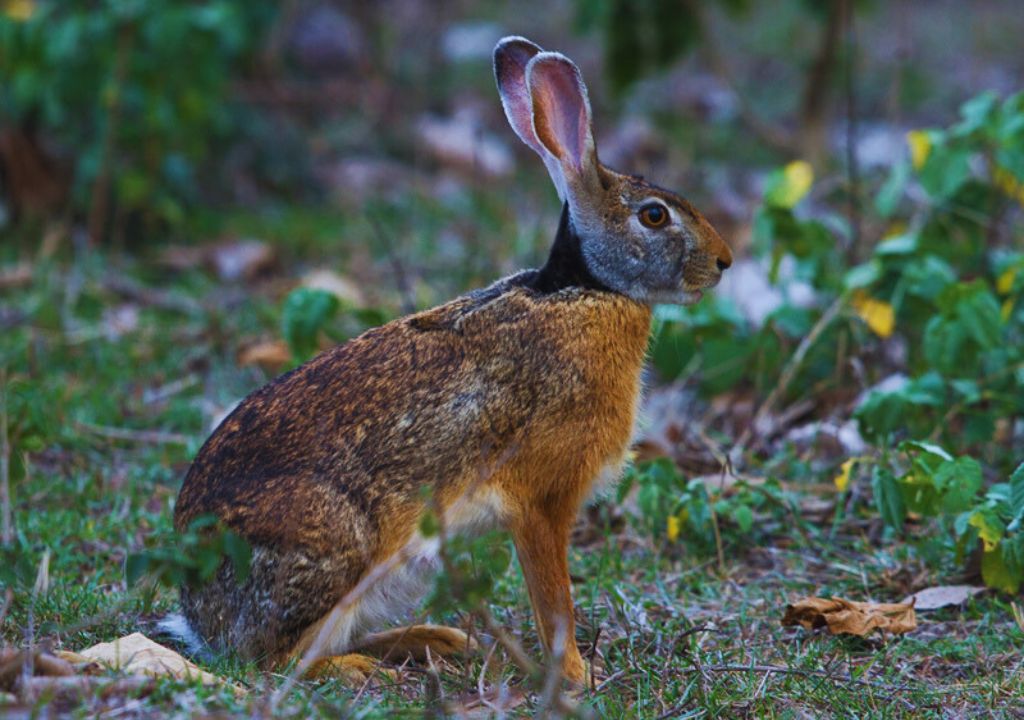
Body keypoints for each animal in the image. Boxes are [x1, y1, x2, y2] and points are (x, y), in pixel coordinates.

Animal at [163, 36, 732, 686]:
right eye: (655, 215)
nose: (724, 261)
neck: (584, 288)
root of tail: (201, 618)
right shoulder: (541, 500)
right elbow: (553, 600)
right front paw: (574, 676)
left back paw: (436, 639)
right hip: (335, 544)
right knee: (276, 661)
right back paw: (365, 669)